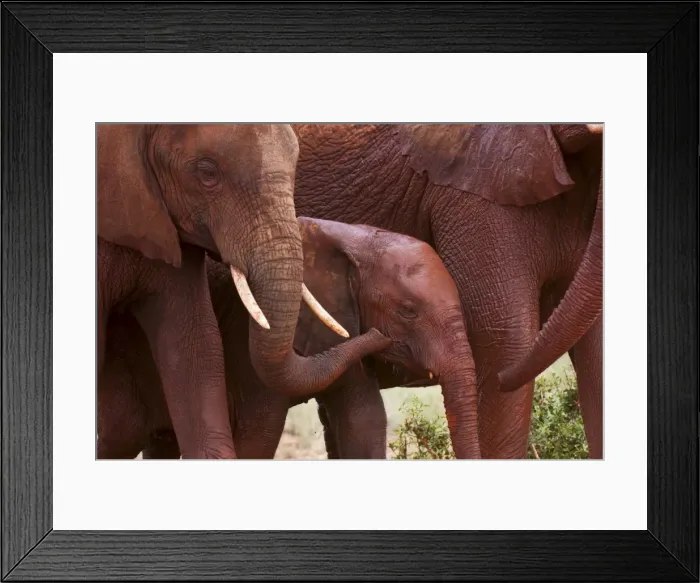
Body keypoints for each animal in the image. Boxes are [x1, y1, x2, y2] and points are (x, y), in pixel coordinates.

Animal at [98, 217, 480, 460]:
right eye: (408, 311)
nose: (377, 335)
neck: (352, 239)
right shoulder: (246, 335)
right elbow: (260, 433)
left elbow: (364, 420)